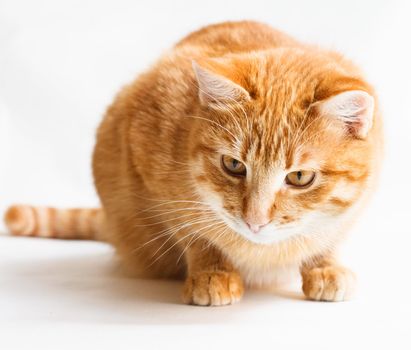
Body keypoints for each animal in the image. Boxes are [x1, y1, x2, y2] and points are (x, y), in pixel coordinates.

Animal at [3, 21, 384, 306]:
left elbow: (331, 235)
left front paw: (324, 265)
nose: (255, 221)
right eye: (233, 165)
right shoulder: (149, 165)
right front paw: (212, 271)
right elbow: (193, 231)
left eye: (300, 177)